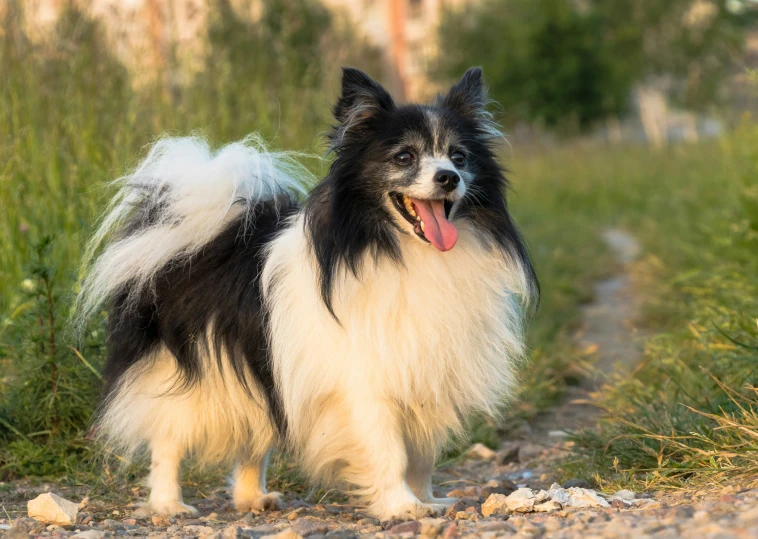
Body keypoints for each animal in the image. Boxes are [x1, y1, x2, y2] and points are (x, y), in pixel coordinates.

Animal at [77, 67, 536, 524]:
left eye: (459, 157)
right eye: (404, 157)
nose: (448, 178)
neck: (401, 250)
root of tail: (204, 230)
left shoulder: (425, 372)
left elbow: (421, 454)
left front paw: (425, 500)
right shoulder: (365, 381)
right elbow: (389, 449)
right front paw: (400, 505)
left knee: (254, 433)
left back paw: (252, 497)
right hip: (185, 374)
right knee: (167, 438)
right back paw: (169, 503)